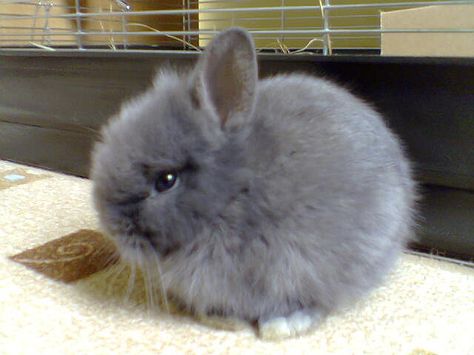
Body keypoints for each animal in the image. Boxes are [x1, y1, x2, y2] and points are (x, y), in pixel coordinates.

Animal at [90, 27, 416, 340]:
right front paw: (223, 319)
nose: (112, 226)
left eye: (166, 180)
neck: (233, 196)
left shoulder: (299, 265)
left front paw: (279, 326)